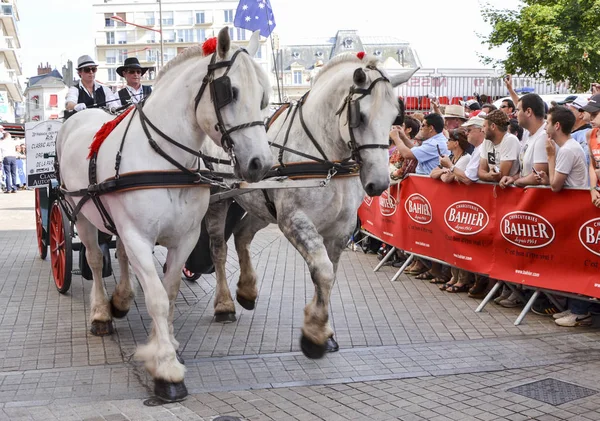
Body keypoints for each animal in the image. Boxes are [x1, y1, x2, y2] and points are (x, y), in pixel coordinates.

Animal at [56, 29, 272, 400]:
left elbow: (169, 292)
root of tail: (83, 116)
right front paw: (167, 371)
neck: (166, 161)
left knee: (120, 255)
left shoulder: (184, 237)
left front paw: (166, 342)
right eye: (229, 91)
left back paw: (121, 299)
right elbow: (156, 297)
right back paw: (101, 314)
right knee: (95, 260)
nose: (260, 164)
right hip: (81, 215)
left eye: (263, 96)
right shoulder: (139, 237)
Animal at [199, 51, 414, 354]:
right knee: (218, 248)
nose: (380, 183)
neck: (326, 158)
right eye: (359, 116)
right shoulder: (294, 220)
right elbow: (322, 271)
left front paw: (324, 330)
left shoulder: (341, 228)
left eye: (396, 115)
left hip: (262, 206)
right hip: (217, 200)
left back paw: (247, 290)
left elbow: (329, 274)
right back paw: (224, 305)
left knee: (241, 235)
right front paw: (314, 334)